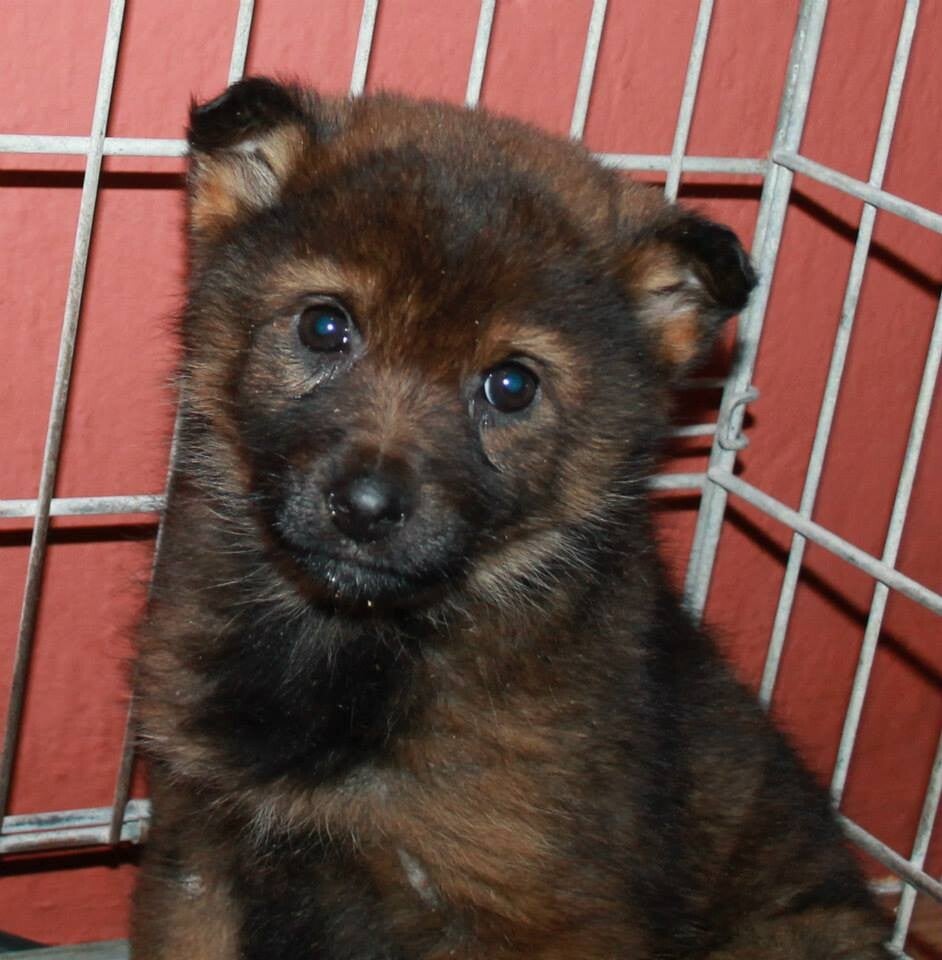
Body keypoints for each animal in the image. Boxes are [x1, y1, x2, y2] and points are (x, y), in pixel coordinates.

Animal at [131, 78, 890, 959]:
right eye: (324, 327)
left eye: (512, 386)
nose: (365, 509)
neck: (347, 649)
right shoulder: (196, 855)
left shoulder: (539, 913)